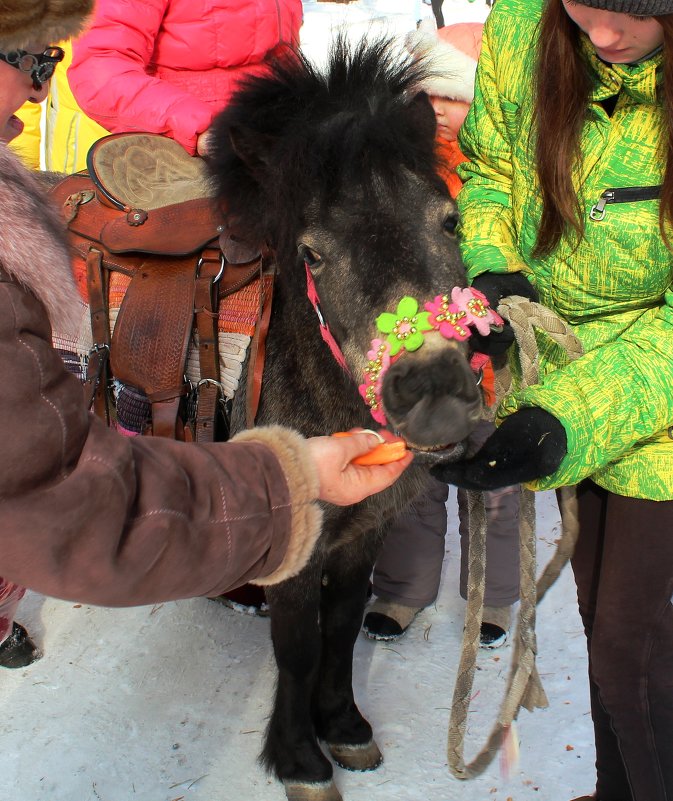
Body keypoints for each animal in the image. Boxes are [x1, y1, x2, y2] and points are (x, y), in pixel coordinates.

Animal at [207, 32, 486, 800]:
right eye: (311, 252)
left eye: (450, 219)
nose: (434, 392)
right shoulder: (298, 545)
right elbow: (298, 646)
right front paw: (300, 758)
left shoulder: (365, 530)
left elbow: (339, 626)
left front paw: (343, 725)